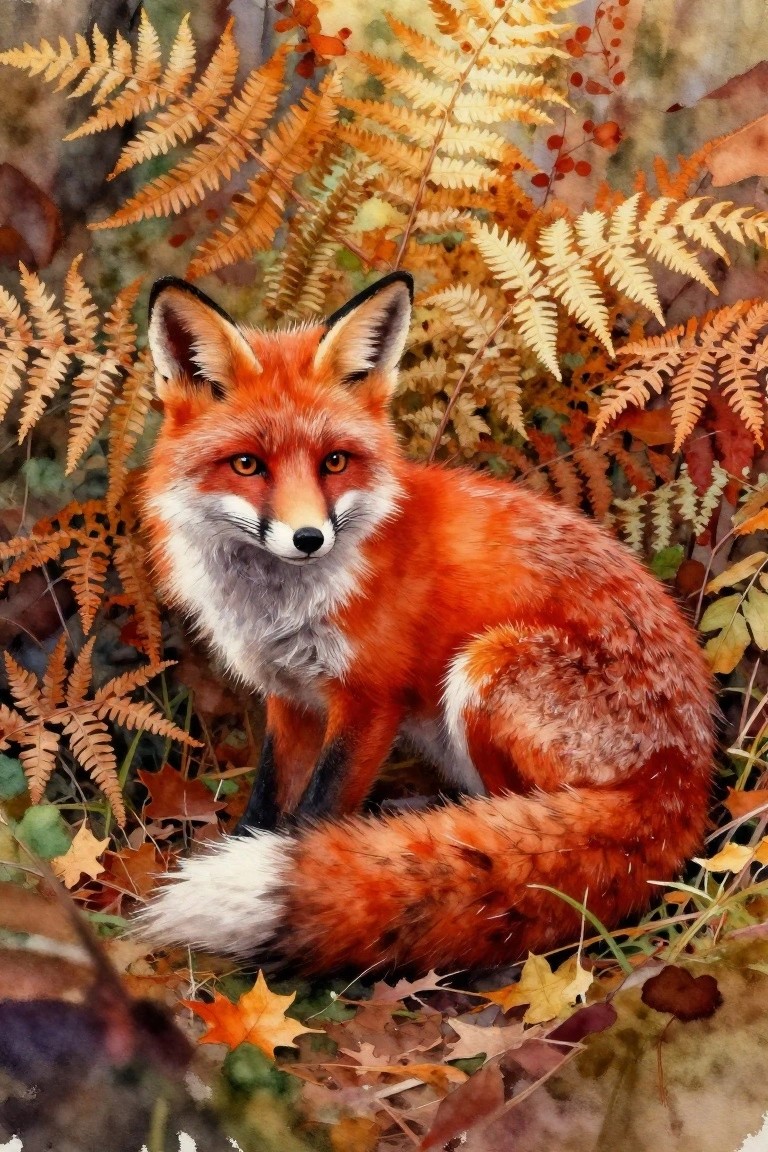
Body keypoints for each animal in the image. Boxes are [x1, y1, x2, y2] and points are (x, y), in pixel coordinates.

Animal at [139, 271, 715, 976]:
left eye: (335, 462)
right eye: (247, 464)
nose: (308, 538)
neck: (281, 607)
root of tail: (684, 776)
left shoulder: (370, 701)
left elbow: (311, 816)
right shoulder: (289, 697)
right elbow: (266, 807)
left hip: (485, 669)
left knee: (524, 838)